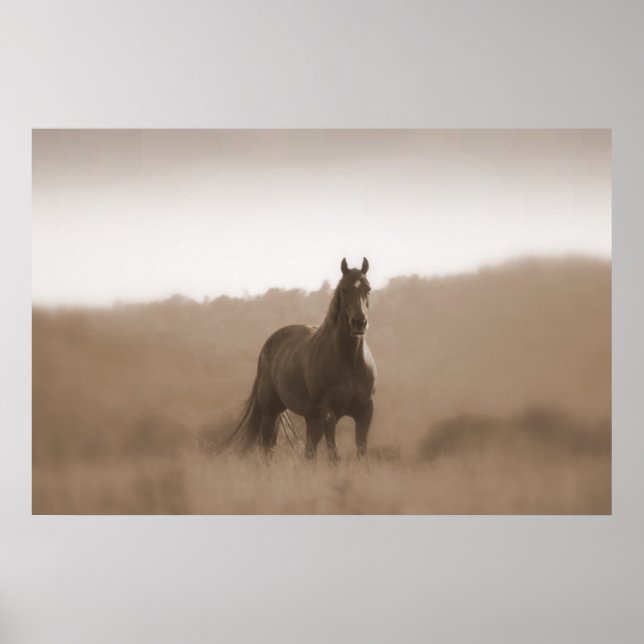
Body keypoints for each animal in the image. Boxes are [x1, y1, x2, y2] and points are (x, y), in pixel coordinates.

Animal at [223, 257, 376, 460]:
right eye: (344, 288)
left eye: (368, 288)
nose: (359, 322)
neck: (349, 363)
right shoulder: (329, 415)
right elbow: (333, 456)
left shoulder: (365, 414)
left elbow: (362, 453)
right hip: (271, 411)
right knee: (267, 447)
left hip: (311, 418)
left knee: (309, 452)